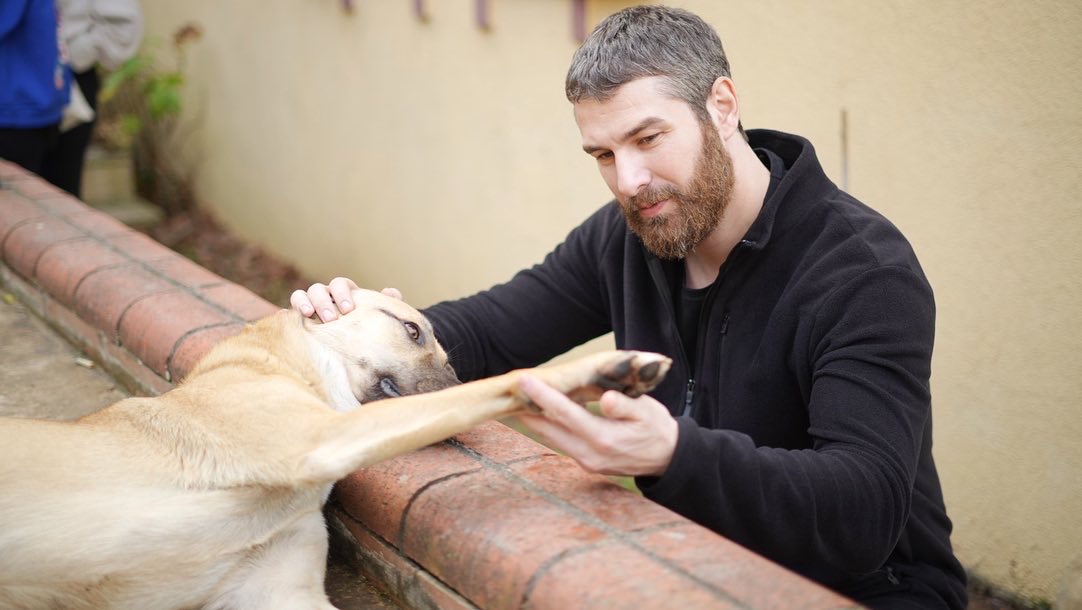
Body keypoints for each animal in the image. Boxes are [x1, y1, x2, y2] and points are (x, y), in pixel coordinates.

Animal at [0, 287, 666, 605]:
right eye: (412, 330)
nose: (454, 382)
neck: (276, 364)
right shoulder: (322, 436)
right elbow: (499, 386)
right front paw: (597, 371)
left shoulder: (278, 596)